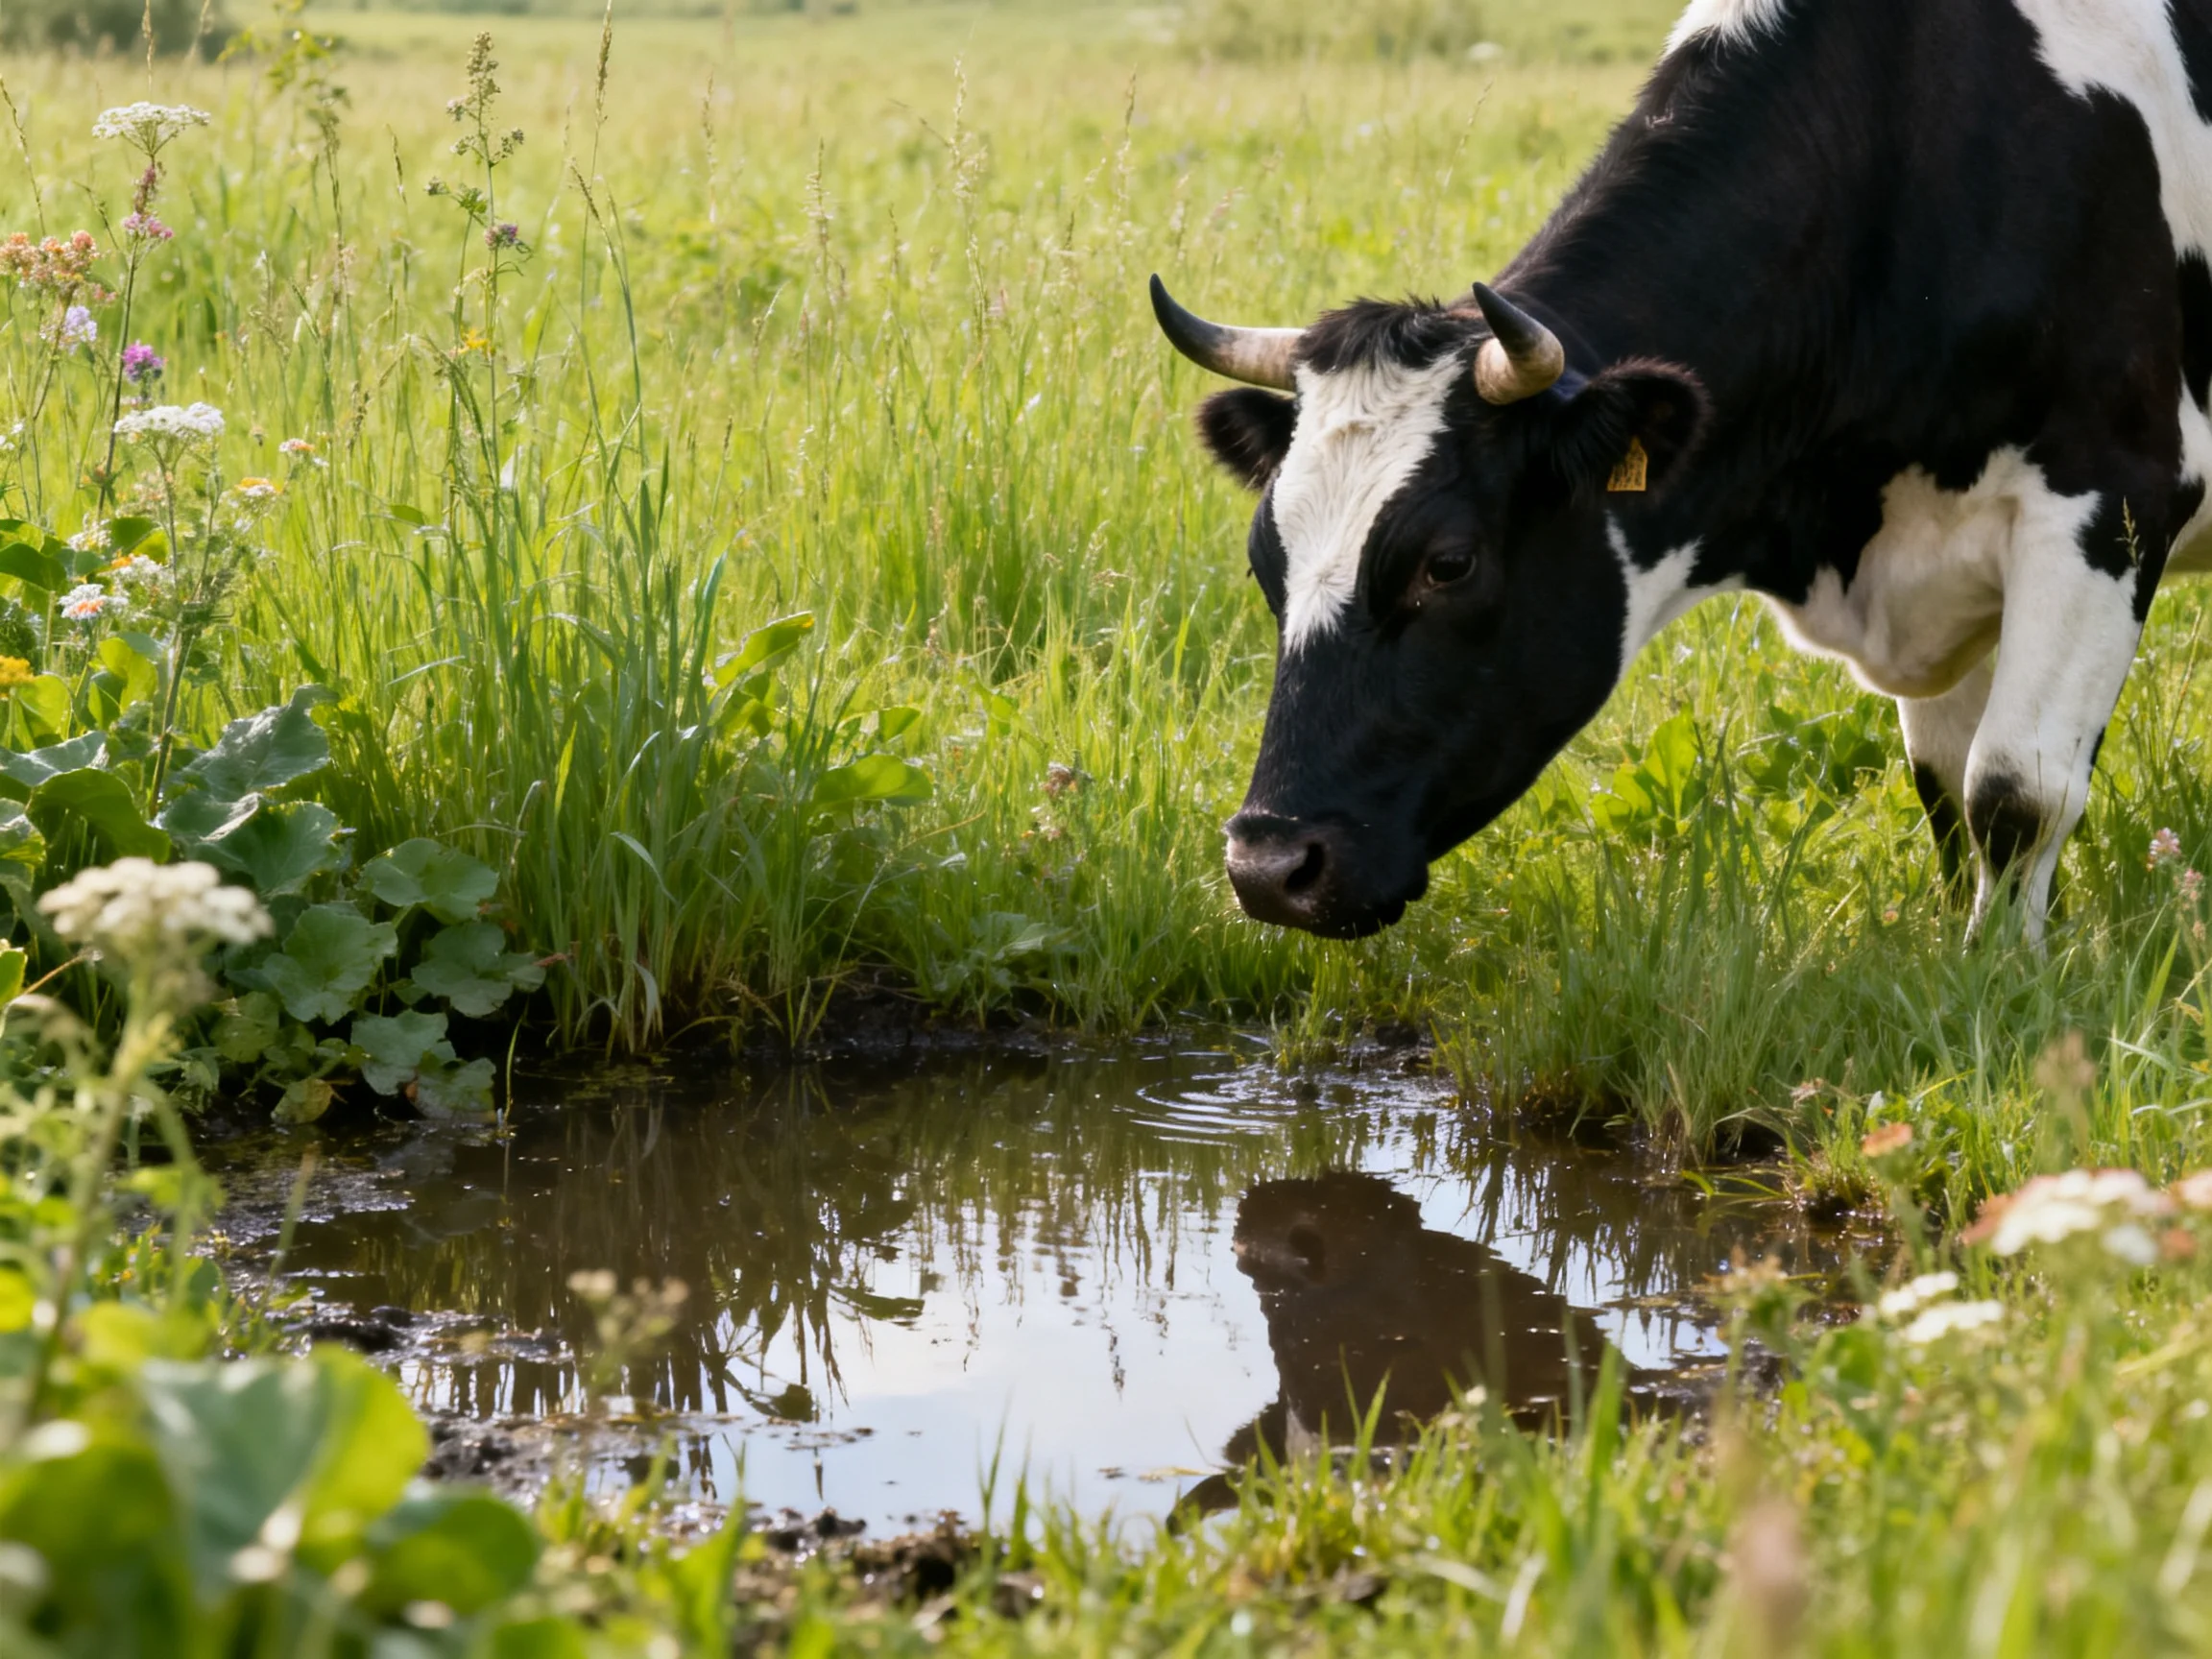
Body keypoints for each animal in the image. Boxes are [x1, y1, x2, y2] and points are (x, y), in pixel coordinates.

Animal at [1152, 0, 2212, 946]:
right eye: (1263, 560)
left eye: (1447, 563)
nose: (1269, 865)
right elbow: (1949, 784)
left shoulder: (2107, 496)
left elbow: (2013, 789)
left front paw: (2003, 980)